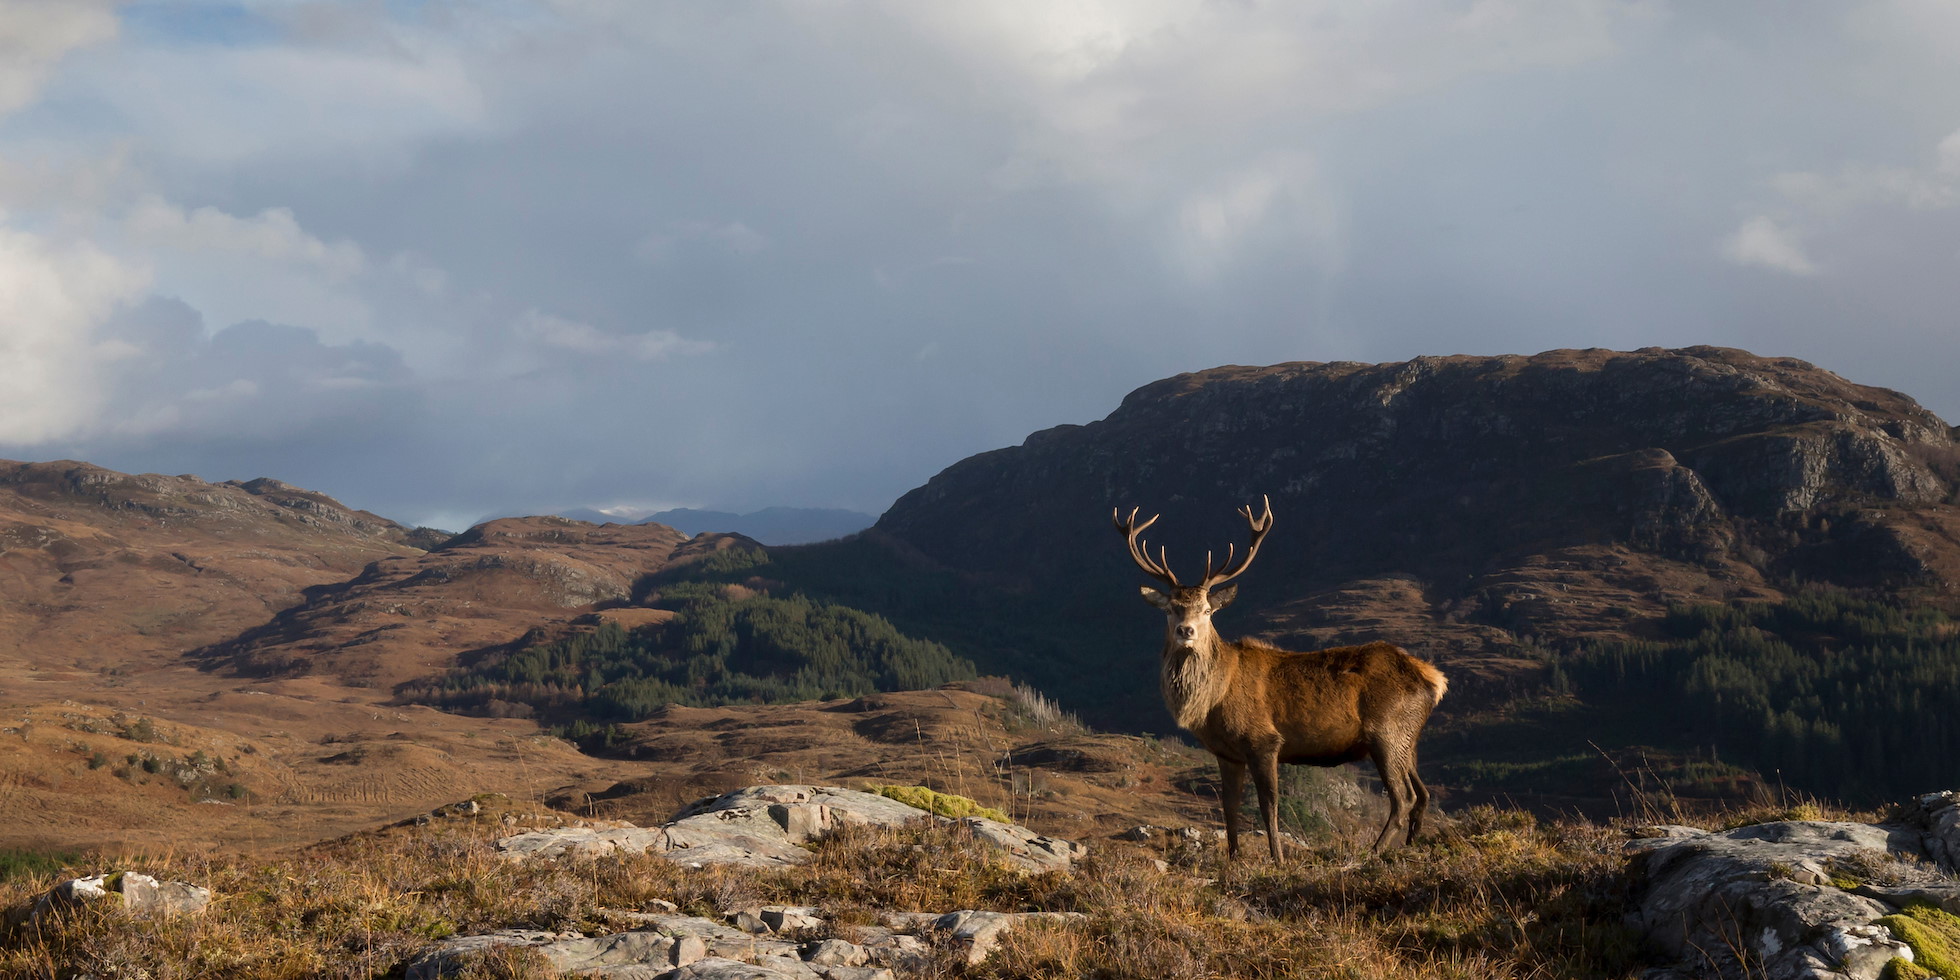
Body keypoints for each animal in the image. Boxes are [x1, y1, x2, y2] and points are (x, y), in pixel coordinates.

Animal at [1114, 496, 1447, 859]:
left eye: (1206, 610)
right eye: (1171, 608)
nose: (1185, 631)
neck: (1212, 700)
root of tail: (1434, 680)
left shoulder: (1264, 740)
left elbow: (1268, 805)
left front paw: (1277, 858)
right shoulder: (1226, 753)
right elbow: (1228, 807)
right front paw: (1233, 858)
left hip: (1386, 732)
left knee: (1404, 797)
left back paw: (1373, 851)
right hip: (1407, 737)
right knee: (1423, 794)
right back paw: (1408, 848)